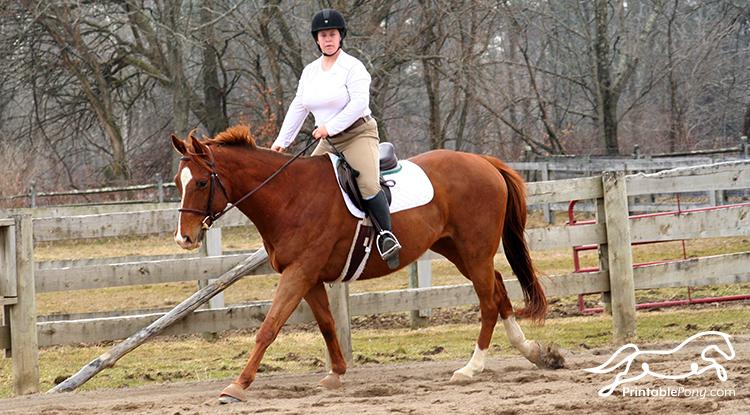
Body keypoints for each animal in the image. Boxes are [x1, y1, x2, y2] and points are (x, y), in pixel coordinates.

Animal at [170, 126, 564, 404]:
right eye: (178, 182)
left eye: (201, 182)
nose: (184, 238)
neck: (288, 196)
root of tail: (483, 161)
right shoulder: (309, 276)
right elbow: (327, 325)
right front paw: (336, 373)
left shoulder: (299, 273)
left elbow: (268, 328)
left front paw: (237, 386)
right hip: (458, 250)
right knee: (497, 290)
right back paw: (534, 353)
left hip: (475, 250)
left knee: (487, 301)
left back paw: (471, 368)